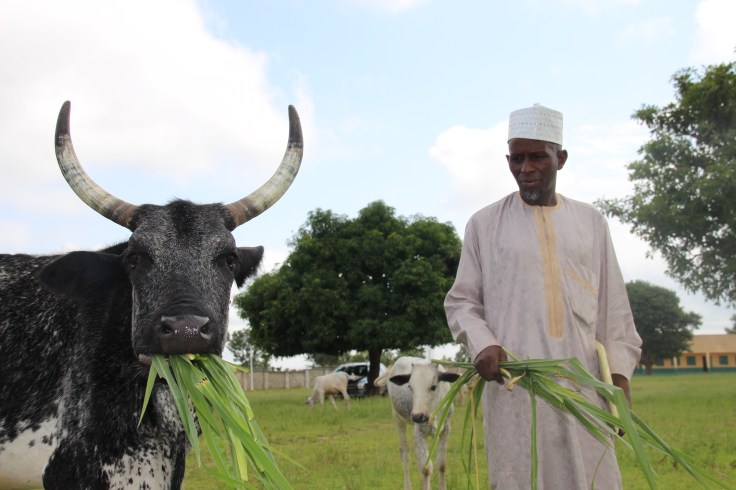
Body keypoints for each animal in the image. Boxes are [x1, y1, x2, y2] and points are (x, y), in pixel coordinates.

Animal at [386, 357, 460, 490]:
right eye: (410, 387)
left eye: (433, 387)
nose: (417, 416)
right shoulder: (418, 433)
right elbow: (426, 469)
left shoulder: (445, 429)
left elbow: (442, 464)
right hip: (398, 418)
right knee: (405, 454)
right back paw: (407, 485)